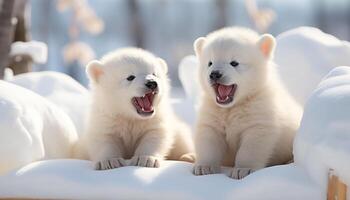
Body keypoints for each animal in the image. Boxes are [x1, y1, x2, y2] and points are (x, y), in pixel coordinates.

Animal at [193, 27, 302, 179]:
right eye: (210, 62)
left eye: (234, 62)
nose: (215, 74)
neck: (234, 105)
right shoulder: (212, 111)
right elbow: (209, 137)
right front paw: (204, 167)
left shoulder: (259, 112)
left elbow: (252, 144)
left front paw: (243, 170)